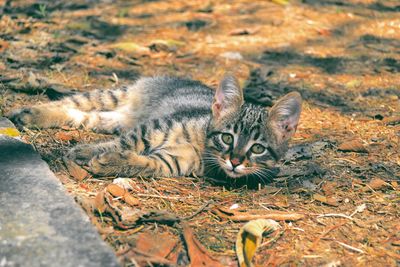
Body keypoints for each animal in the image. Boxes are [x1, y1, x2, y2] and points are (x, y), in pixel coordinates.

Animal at [7, 74, 302, 183]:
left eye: (258, 148)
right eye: (228, 138)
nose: (236, 161)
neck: (201, 146)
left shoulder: (172, 161)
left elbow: (145, 163)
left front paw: (112, 162)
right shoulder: (153, 128)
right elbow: (124, 144)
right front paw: (85, 152)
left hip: (111, 118)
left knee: (82, 116)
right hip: (115, 95)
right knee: (71, 103)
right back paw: (29, 113)